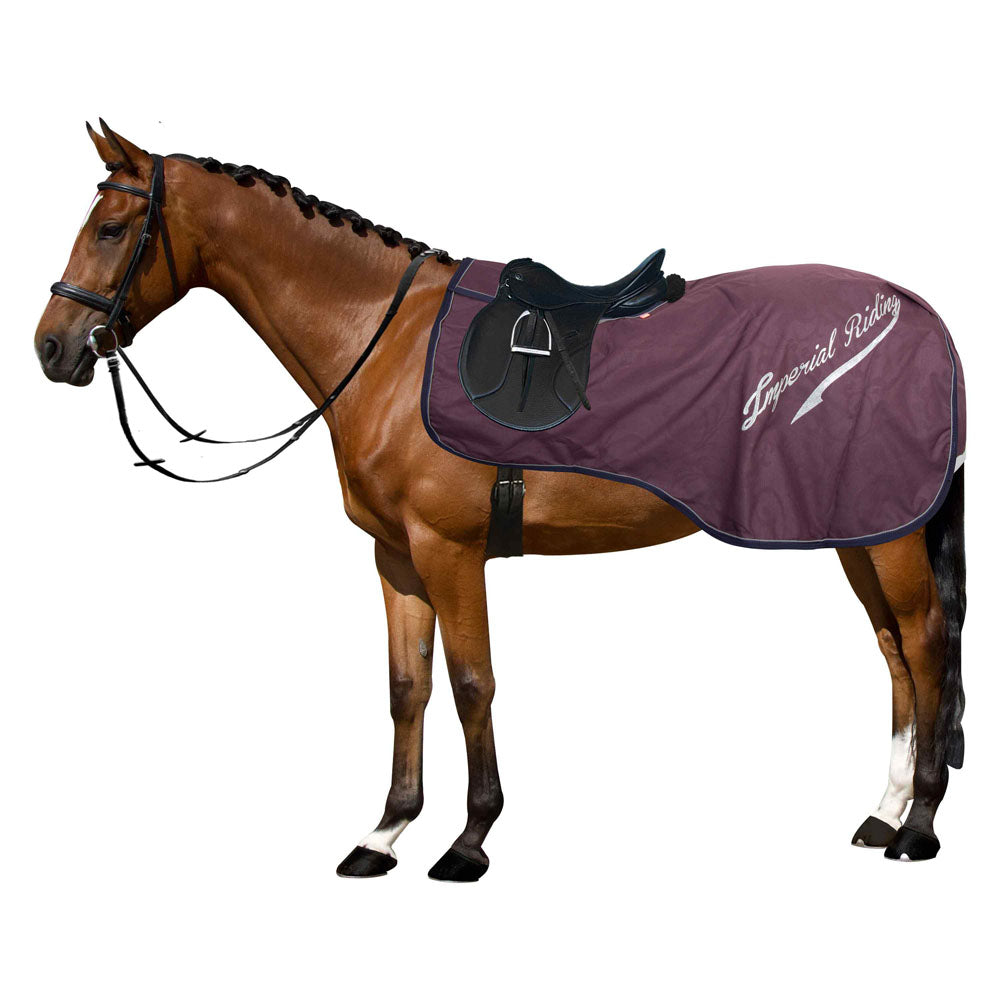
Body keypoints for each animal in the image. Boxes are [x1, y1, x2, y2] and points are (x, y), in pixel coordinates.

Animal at [34, 122, 966, 880]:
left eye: (111, 229)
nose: (51, 347)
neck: (387, 341)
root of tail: (922, 319)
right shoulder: (396, 557)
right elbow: (405, 686)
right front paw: (384, 834)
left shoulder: (450, 551)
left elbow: (471, 682)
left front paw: (468, 841)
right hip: (857, 531)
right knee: (893, 653)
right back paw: (882, 815)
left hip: (885, 536)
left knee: (924, 645)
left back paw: (919, 826)